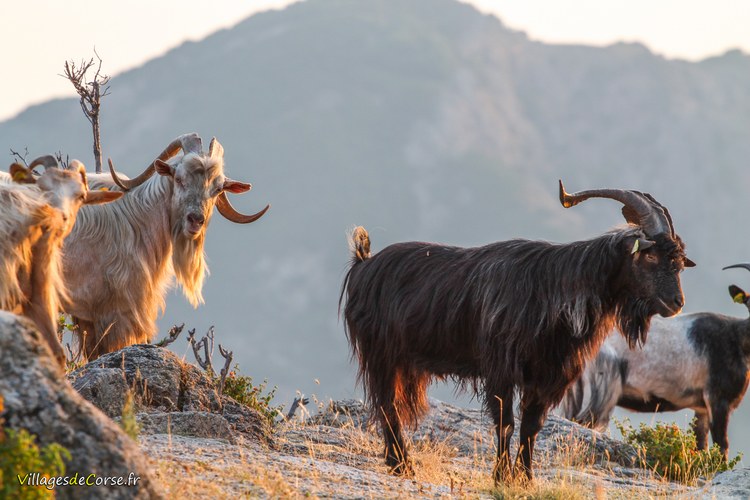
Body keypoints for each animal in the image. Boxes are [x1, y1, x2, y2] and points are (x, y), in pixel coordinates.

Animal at [62, 133, 270, 360]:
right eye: (179, 179)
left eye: (217, 189)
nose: (195, 220)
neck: (135, 218)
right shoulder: (116, 311)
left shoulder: (89, 316)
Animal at [340, 183, 692, 480]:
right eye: (650, 254)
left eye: (678, 260)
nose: (677, 302)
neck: (561, 288)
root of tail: (364, 263)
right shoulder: (501, 370)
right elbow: (506, 423)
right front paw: (501, 476)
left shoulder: (547, 375)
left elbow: (532, 426)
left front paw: (526, 478)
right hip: (381, 354)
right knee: (387, 405)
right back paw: (402, 465)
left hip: (407, 364)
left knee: (396, 405)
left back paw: (398, 461)